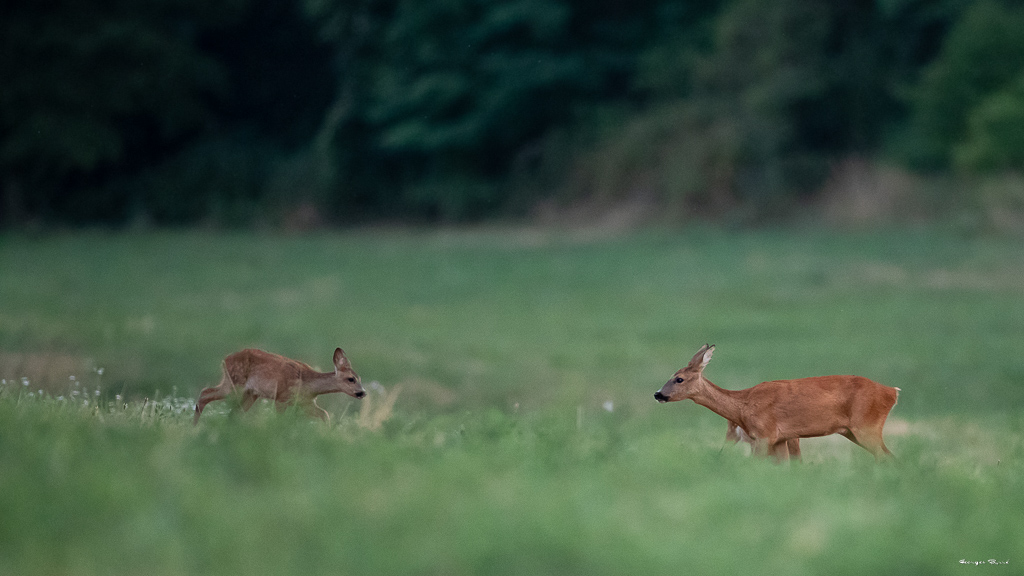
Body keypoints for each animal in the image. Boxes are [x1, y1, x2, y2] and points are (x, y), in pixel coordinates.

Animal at [193, 347, 365, 425]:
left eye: (359, 378)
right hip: (235, 384)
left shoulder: (305, 403)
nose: (362, 392)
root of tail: (225, 360)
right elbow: (279, 419)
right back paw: (194, 426)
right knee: (205, 393)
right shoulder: (281, 397)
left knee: (233, 412)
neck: (308, 383)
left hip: (250, 394)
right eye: (351, 379)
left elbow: (325, 414)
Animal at [654, 344, 899, 462]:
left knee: (887, 457)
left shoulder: (764, 435)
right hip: (851, 431)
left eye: (679, 378)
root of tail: (892, 392)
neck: (743, 406)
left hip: (866, 426)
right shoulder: (780, 439)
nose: (658, 394)